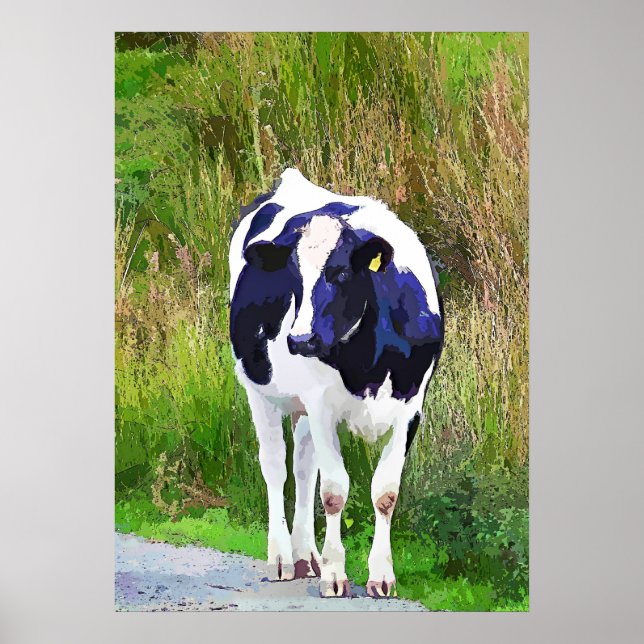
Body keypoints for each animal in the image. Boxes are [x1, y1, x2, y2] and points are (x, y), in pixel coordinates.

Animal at [228, 168, 444, 598]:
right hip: (258, 390)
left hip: (303, 407)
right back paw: (282, 557)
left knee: (302, 467)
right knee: (275, 466)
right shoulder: (322, 405)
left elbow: (385, 492)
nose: (299, 339)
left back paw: (305, 556)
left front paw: (381, 576)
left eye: (341, 272)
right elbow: (333, 491)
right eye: (293, 276)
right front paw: (334, 575)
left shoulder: (411, 408)